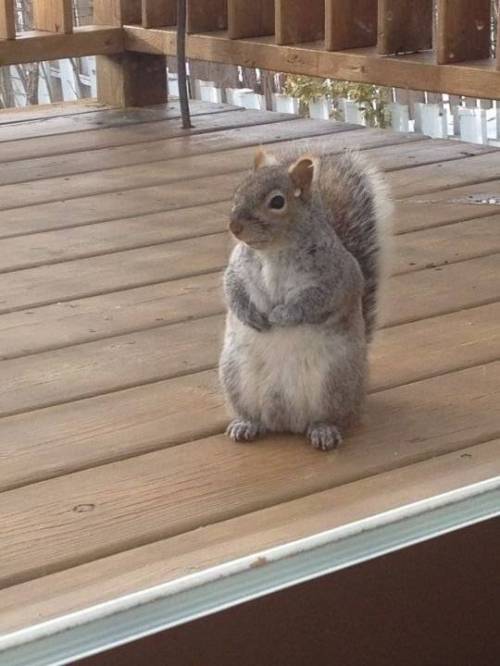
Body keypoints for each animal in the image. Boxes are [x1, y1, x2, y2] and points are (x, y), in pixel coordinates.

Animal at [219, 144, 390, 446]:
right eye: (239, 189)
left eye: (277, 202)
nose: (234, 227)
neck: (273, 252)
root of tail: (286, 422)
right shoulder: (237, 268)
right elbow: (233, 288)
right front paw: (250, 315)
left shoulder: (333, 278)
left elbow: (313, 302)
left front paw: (281, 315)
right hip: (235, 376)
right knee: (254, 415)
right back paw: (246, 424)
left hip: (335, 381)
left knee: (332, 417)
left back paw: (324, 430)